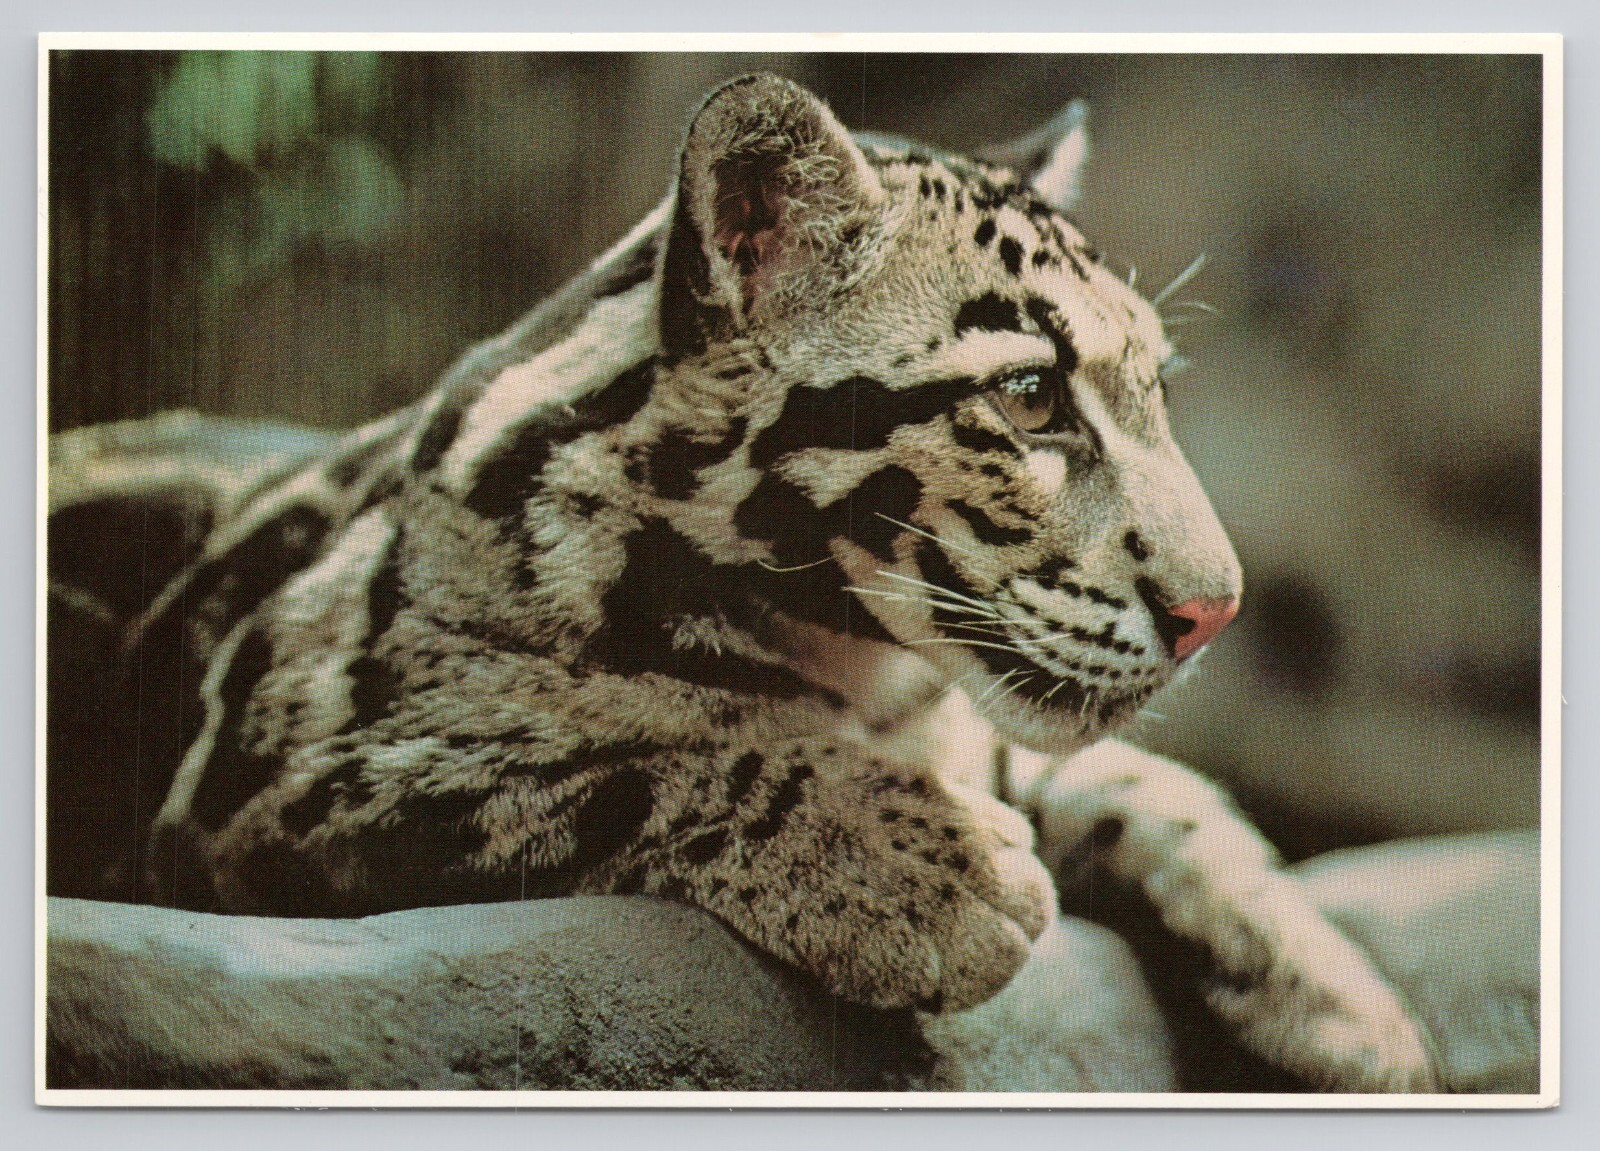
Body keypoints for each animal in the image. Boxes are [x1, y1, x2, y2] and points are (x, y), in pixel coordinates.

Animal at [46, 73, 1438, 1092]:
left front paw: (1349, 1000)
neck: (863, 667)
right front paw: (928, 864)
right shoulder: (272, 778)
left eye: (1156, 386)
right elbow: (630, 745)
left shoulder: (989, 728)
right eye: (1030, 394)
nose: (1216, 610)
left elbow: (1148, 785)